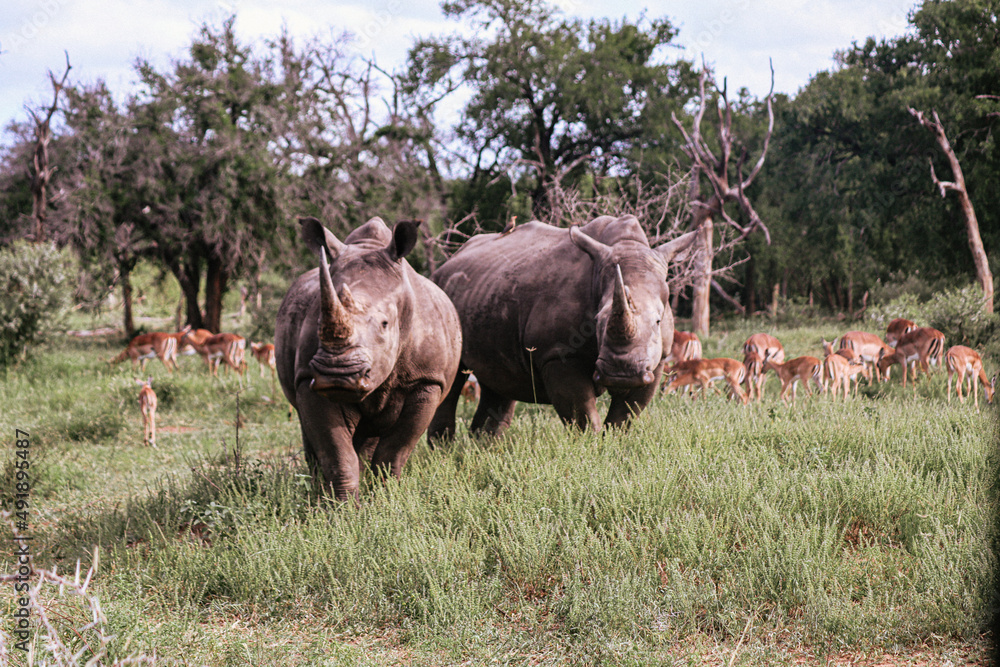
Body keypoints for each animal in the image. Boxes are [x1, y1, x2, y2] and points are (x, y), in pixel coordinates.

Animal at [275, 216, 462, 501]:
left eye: (385, 324)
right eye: (317, 322)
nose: (337, 374)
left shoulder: (427, 381)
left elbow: (395, 450)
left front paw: (386, 498)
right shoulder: (308, 378)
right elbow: (337, 453)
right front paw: (341, 507)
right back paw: (318, 492)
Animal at [428, 215, 697, 438]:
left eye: (658, 321)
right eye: (596, 321)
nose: (621, 373)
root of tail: (448, 262)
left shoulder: (658, 360)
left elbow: (624, 417)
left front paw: (614, 446)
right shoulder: (556, 354)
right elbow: (583, 417)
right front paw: (592, 451)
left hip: (488, 289)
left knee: (497, 380)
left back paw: (483, 448)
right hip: (442, 290)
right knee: (453, 379)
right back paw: (444, 452)